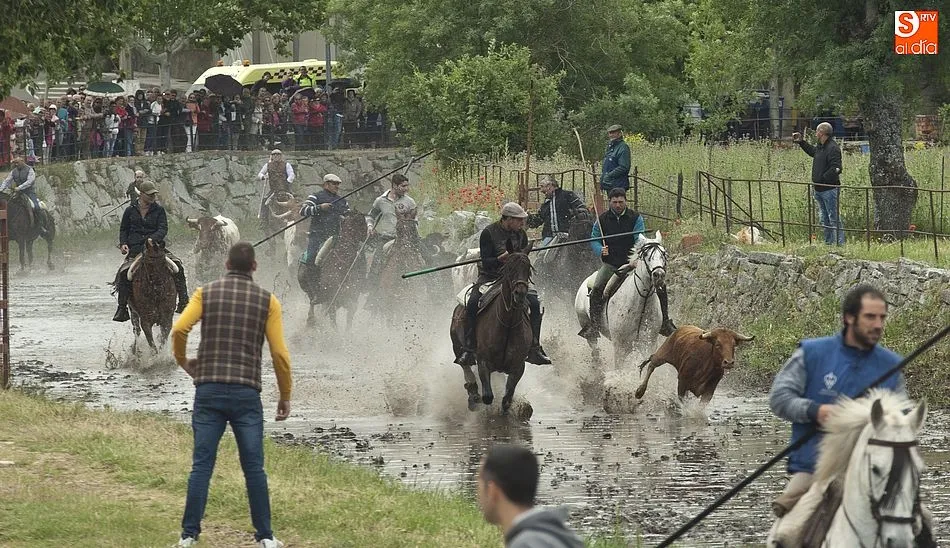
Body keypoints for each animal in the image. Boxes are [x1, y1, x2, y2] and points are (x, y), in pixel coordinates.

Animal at [450, 242, 534, 416]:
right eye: (509, 268)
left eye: (528, 268)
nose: (520, 294)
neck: (507, 325)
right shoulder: (483, 362)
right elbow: (488, 397)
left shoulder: (518, 367)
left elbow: (507, 399)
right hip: (456, 344)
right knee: (464, 364)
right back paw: (472, 392)